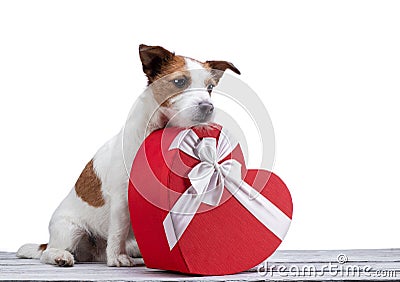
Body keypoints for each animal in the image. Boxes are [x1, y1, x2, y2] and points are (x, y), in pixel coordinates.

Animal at [15, 44, 239, 266]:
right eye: (179, 81)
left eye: (210, 88)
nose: (208, 107)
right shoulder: (121, 197)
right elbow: (119, 230)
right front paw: (117, 257)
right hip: (69, 230)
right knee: (48, 252)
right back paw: (62, 256)